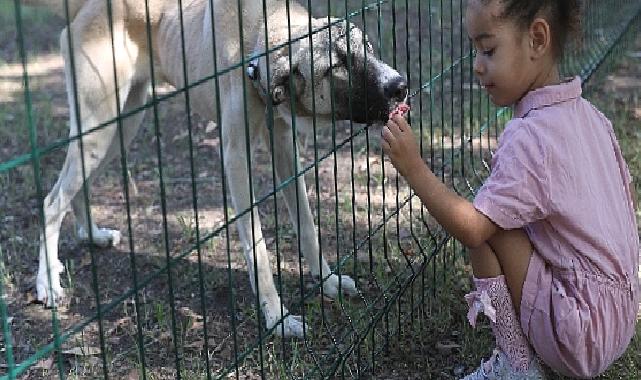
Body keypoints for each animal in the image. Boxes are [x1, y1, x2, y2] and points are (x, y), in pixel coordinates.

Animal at [28, 0, 404, 338]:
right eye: (336, 65)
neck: (259, 38)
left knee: (76, 189)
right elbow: (258, 249)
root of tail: (85, 10)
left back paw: (92, 235)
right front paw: (278, 318)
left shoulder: (284, 147)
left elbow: (307, 225)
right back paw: (47, 282)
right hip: (99, 129)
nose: (400, 86)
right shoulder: (236, 159)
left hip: (122, 127)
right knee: (52, 201)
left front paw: (327, 281)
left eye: (368, 46)